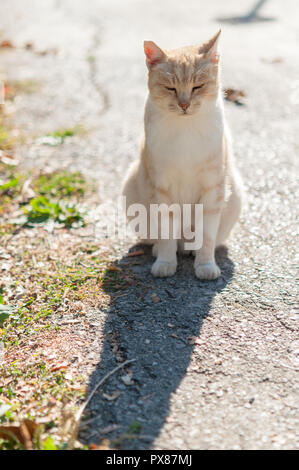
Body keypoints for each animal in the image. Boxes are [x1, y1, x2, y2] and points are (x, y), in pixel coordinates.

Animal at [123, 32, 243, 280]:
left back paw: (191, 250)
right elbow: (167, 234)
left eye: (198, 86)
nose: (185, 104)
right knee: (163, 240)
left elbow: (207, 238)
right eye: (170, 88)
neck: (185, 129)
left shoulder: (212, 190)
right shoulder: (162, 189)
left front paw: (205, 266)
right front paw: (165, 263)